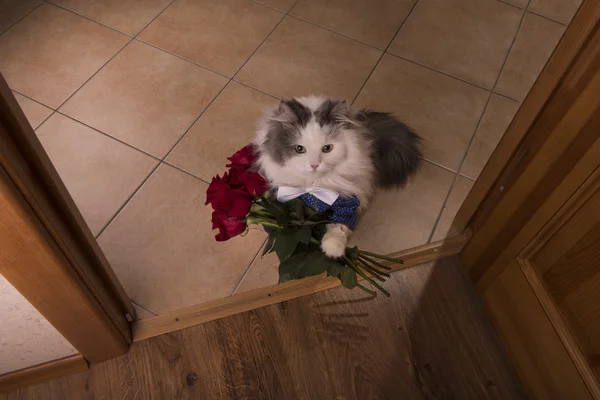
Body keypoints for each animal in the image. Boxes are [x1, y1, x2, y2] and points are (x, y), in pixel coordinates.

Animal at [254, 97, 422, 260]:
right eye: (299, 149)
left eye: (327, 148)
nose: (314, 165)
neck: (314, 187)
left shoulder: (346, 203)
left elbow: (338, 226)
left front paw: (332, 250)